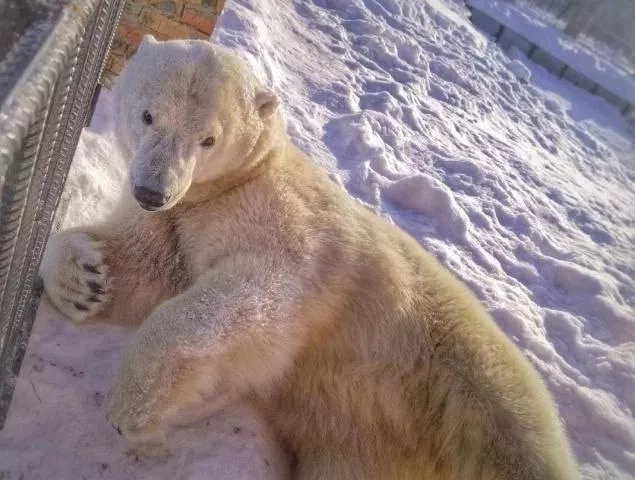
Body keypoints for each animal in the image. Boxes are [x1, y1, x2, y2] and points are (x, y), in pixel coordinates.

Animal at [38, 38, 576, 480]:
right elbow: (144, 266)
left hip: (463, 374)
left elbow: (257, 294)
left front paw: (134, 412)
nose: (152, 191)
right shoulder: (178, 221)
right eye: (150, 115)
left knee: (509, 433)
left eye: (208, 139)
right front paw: (85, 280)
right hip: (356, 444)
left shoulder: (287, 224)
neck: (233, 183)